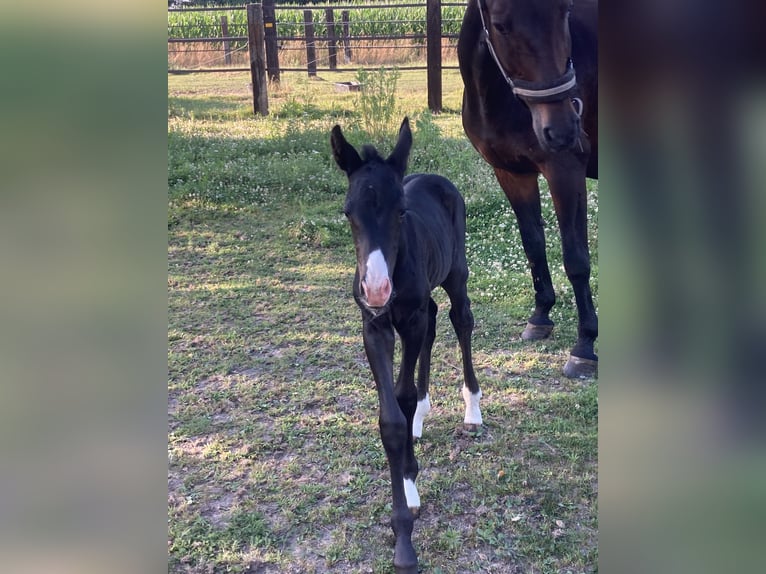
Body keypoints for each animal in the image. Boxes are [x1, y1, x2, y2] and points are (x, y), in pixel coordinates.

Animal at [331, 117, 483, 574]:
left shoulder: (408, 321)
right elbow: (392, 418)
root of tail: (435, 178)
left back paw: (473, 409)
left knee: (459, 320)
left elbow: (403, 394)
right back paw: (423, 418)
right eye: (348, 212)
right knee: (434, 321)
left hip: (456, 272)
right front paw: (405, 509)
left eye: (400, 211)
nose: (377, 288)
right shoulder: (374, 327)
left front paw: (406, 522)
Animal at [458, 0, 598, 378]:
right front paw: (540, 316)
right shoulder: (512, 173)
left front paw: (585, 347)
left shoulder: (565, 171)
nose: (562, 130)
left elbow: (575, 258)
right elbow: (533, 244)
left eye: (565, 12)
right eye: (501, 26)